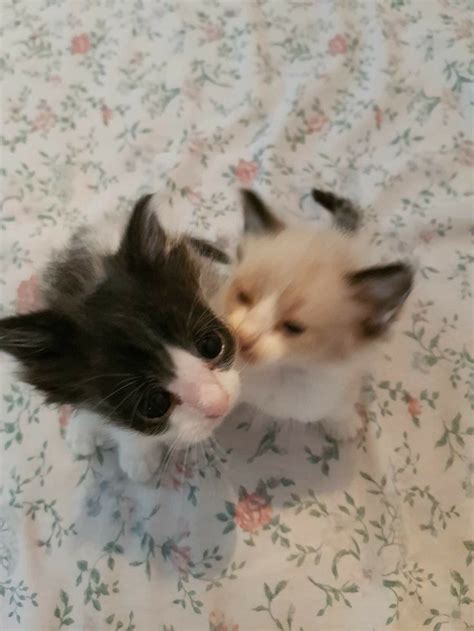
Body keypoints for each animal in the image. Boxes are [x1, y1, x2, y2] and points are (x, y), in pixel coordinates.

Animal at [220, 189, 412, 440]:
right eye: (244, 297)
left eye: (292, 327)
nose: (243, 336)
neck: (280, 371)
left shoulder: (342, 386)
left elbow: (340, 409)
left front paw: (344, 426)